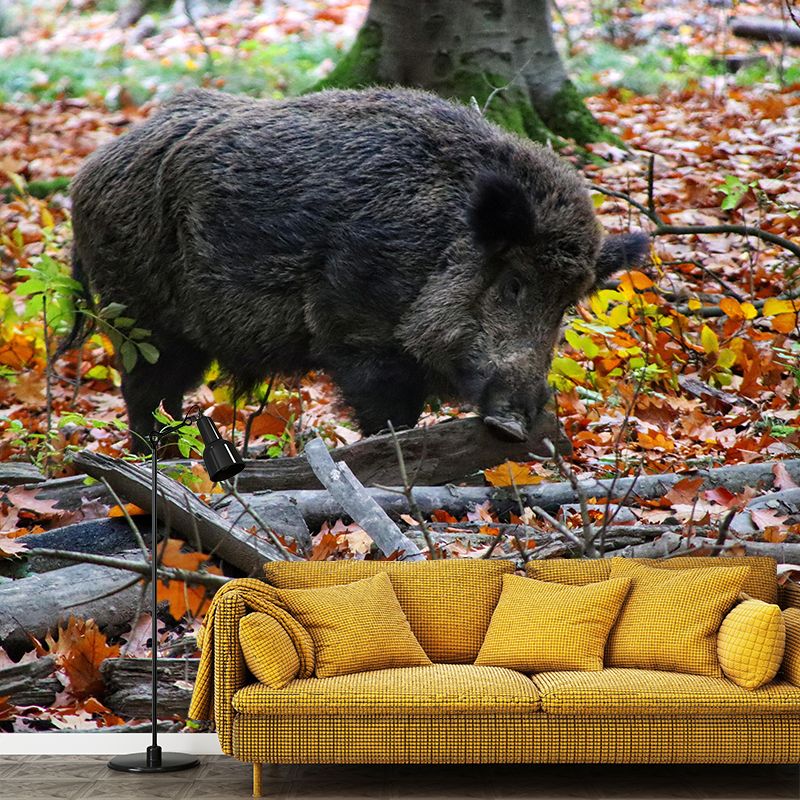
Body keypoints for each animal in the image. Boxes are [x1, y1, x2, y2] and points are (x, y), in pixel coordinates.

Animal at [65, 87, 648, 450]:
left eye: (566, 306)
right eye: (513, 284)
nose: (512, 424)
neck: (435, 244)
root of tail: (84, 176)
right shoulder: (356, 330)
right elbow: (388, 415)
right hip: (138, 317)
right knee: (144, 393)